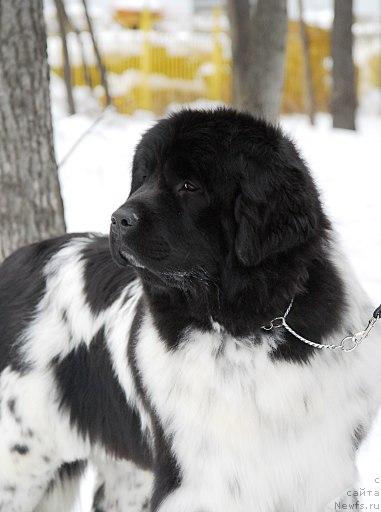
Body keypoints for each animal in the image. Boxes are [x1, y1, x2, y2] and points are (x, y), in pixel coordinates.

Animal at [0, 109, 380, 512]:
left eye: (189, 186)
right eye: (143, 178)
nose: (118, 218)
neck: (242, 327)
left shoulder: (320, 467)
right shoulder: (198, 480)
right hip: (21, 458)